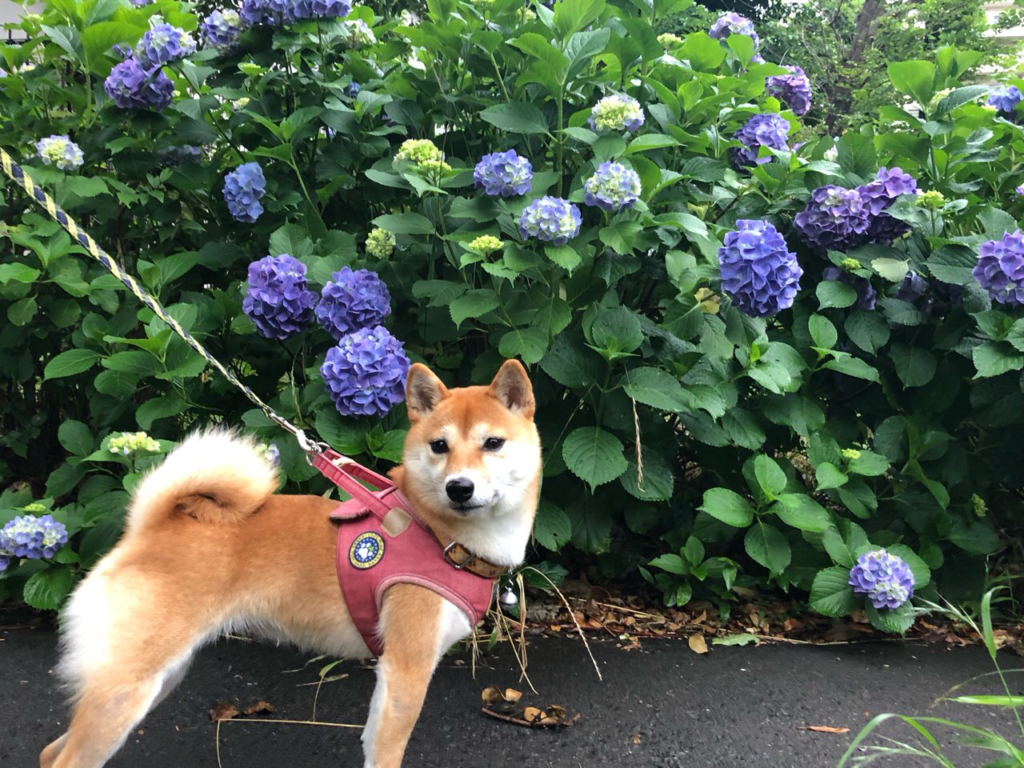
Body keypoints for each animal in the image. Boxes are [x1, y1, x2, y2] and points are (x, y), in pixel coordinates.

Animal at [37, 360, 544, 768]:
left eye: (493, 443)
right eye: (439, 446)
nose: (459, 487)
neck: (436, 532)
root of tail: (148, 527)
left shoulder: (390, 677)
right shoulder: (407, 668)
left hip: (155, 678)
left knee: (49, 752)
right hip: (128, 689)